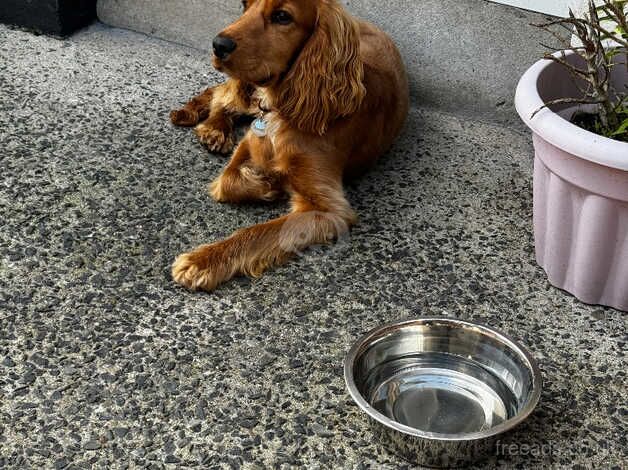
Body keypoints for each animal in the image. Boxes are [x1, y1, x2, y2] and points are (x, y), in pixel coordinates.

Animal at [169, 0, 410, 292]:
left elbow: (256, 231)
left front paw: (202, 260)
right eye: (244, 6)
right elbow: (226, 179)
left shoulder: (328, 209)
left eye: (282, 16)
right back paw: (213, 128)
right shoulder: (251, 139)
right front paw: (267, 184)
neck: (282, 110)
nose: (218, 44)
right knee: (221, 94)